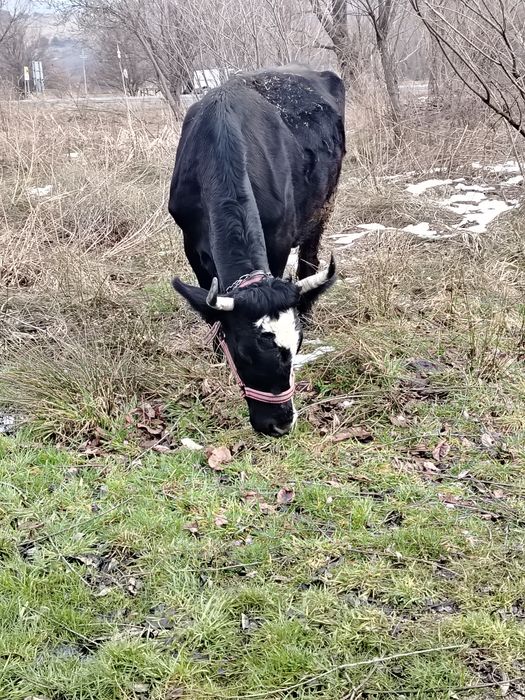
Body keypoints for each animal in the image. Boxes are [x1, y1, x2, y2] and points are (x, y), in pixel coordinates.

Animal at [169, 64, 345, 436]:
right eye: (244, 353)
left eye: (297, 347)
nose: (279, 424)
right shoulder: (190, 244)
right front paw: (215, 351)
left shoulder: (277, 241)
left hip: (325, 204)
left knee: (309, 260)